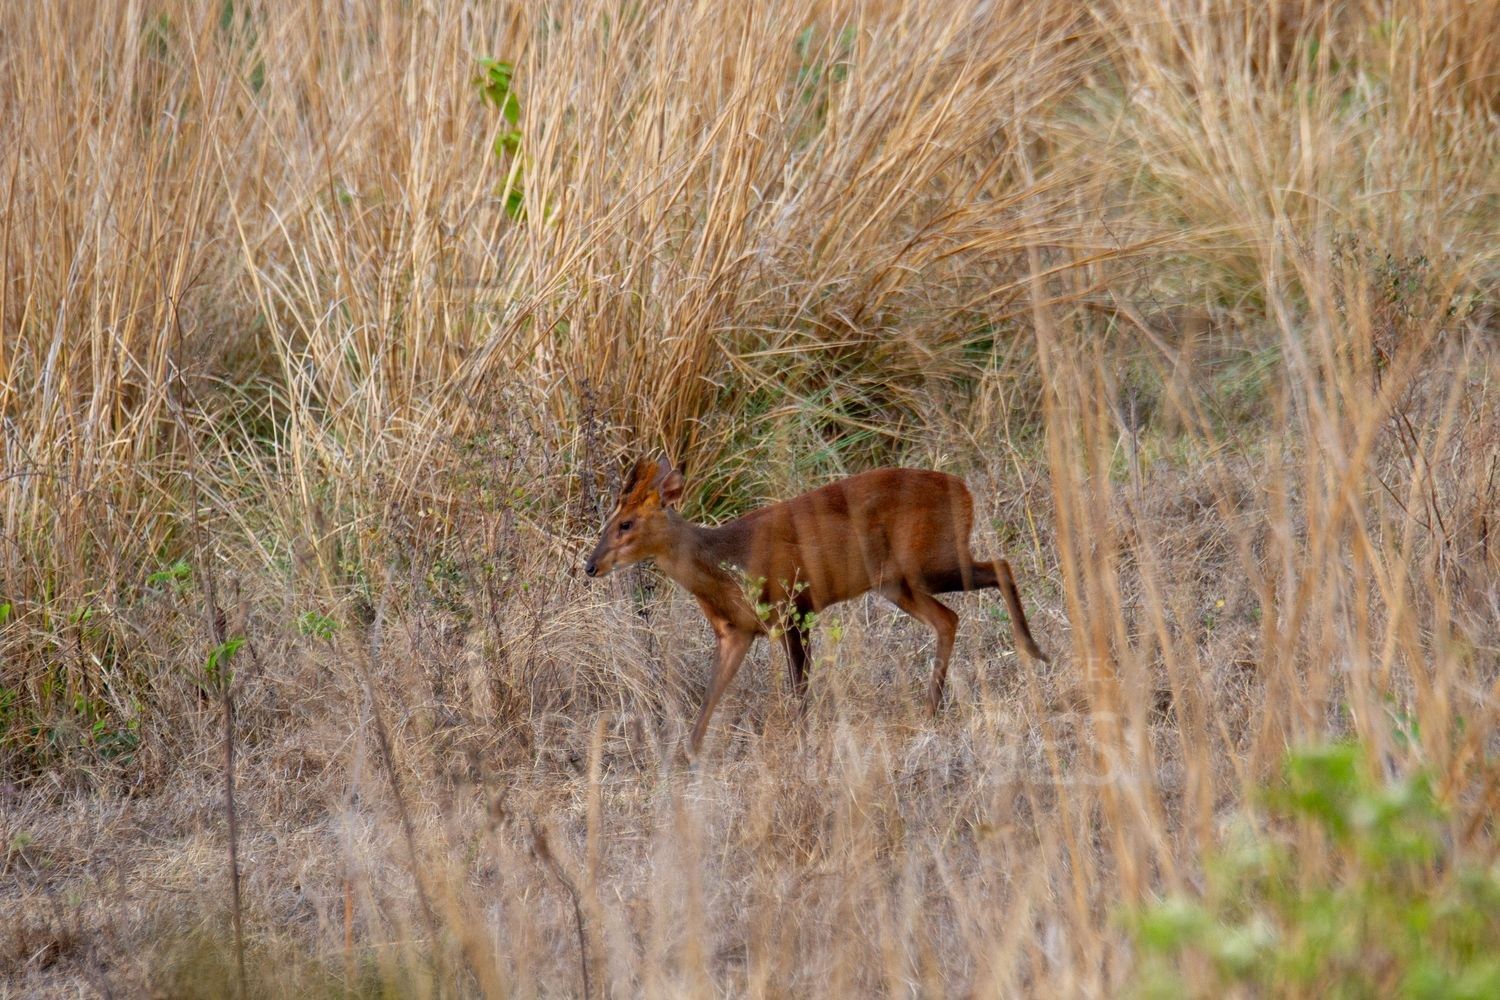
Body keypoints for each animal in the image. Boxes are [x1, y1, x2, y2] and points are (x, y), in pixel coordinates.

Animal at [583, 456, 1050, 753]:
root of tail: (964, 489)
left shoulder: (795, 606)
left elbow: (799, 688)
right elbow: (711, 695)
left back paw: (1034, 651)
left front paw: (801, 740)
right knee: (948, 618)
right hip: (895, 583)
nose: (590, 565)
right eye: (608, 521)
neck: (725, 563)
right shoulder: (736, 632)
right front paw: (688, 754)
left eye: (626, 524)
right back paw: (929, 709)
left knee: (1001, 567)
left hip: (929, 561)